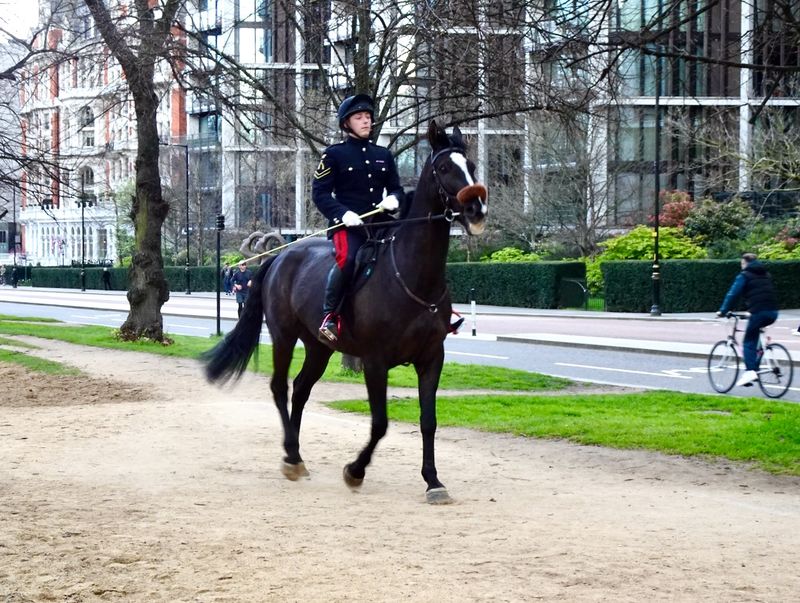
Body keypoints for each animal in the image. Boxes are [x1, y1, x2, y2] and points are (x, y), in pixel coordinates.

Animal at [203, 119, 488, 504]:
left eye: (469, 165)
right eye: (444, 167)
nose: (477, 209)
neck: (412, 274)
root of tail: (281, 256)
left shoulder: (432, 358)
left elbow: (428, 421)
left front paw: (433, 480)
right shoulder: (375, 361)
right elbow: (380, 423)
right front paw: (355, 470)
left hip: (319, 347)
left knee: (300, 388)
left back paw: (296, 455)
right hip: (283, 336)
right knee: (280, 387)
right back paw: (290, 455)